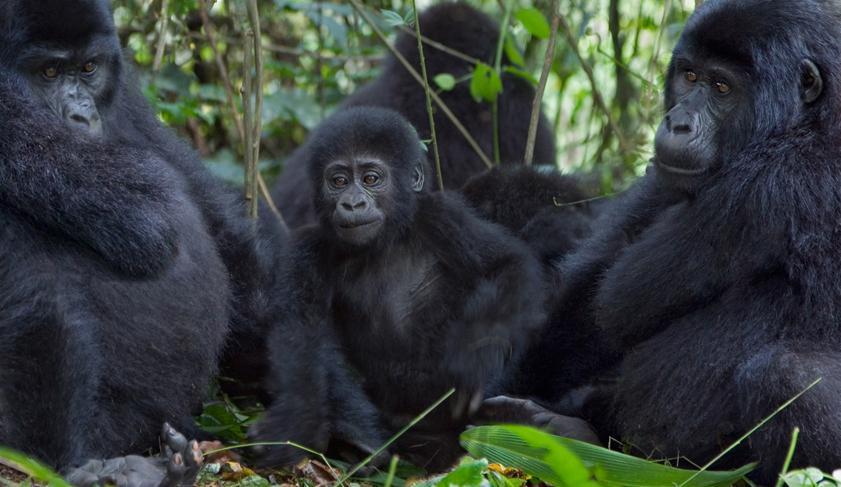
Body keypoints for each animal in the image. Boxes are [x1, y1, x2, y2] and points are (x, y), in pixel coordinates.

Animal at [253, 107, 548, 472]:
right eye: (338, 181)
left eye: (370, 179)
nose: (352, 204)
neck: (384, 243)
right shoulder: (306, 248)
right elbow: (301, 333)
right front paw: (295, 423)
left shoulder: (443, 215)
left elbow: (506, 264)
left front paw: (476, 356)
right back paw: (361, 441)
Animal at [508, 0, 840, 480]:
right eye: (689, 75)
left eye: (722, 86)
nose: (677, 123)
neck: (813, 117)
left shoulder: (774, 182)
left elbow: (618, 300)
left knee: (786, 377)